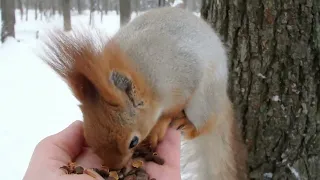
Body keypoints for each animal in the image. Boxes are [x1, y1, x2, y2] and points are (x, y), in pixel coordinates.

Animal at [40, 6, 248, 180]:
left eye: (133, 142)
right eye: (89, 139)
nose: (115, 168)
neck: (146, 78)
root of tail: (222, 97)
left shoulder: (185, 81)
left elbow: (170, 112)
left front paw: (158, 129)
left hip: (204, 101)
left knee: (206, 123)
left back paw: (188, 125)